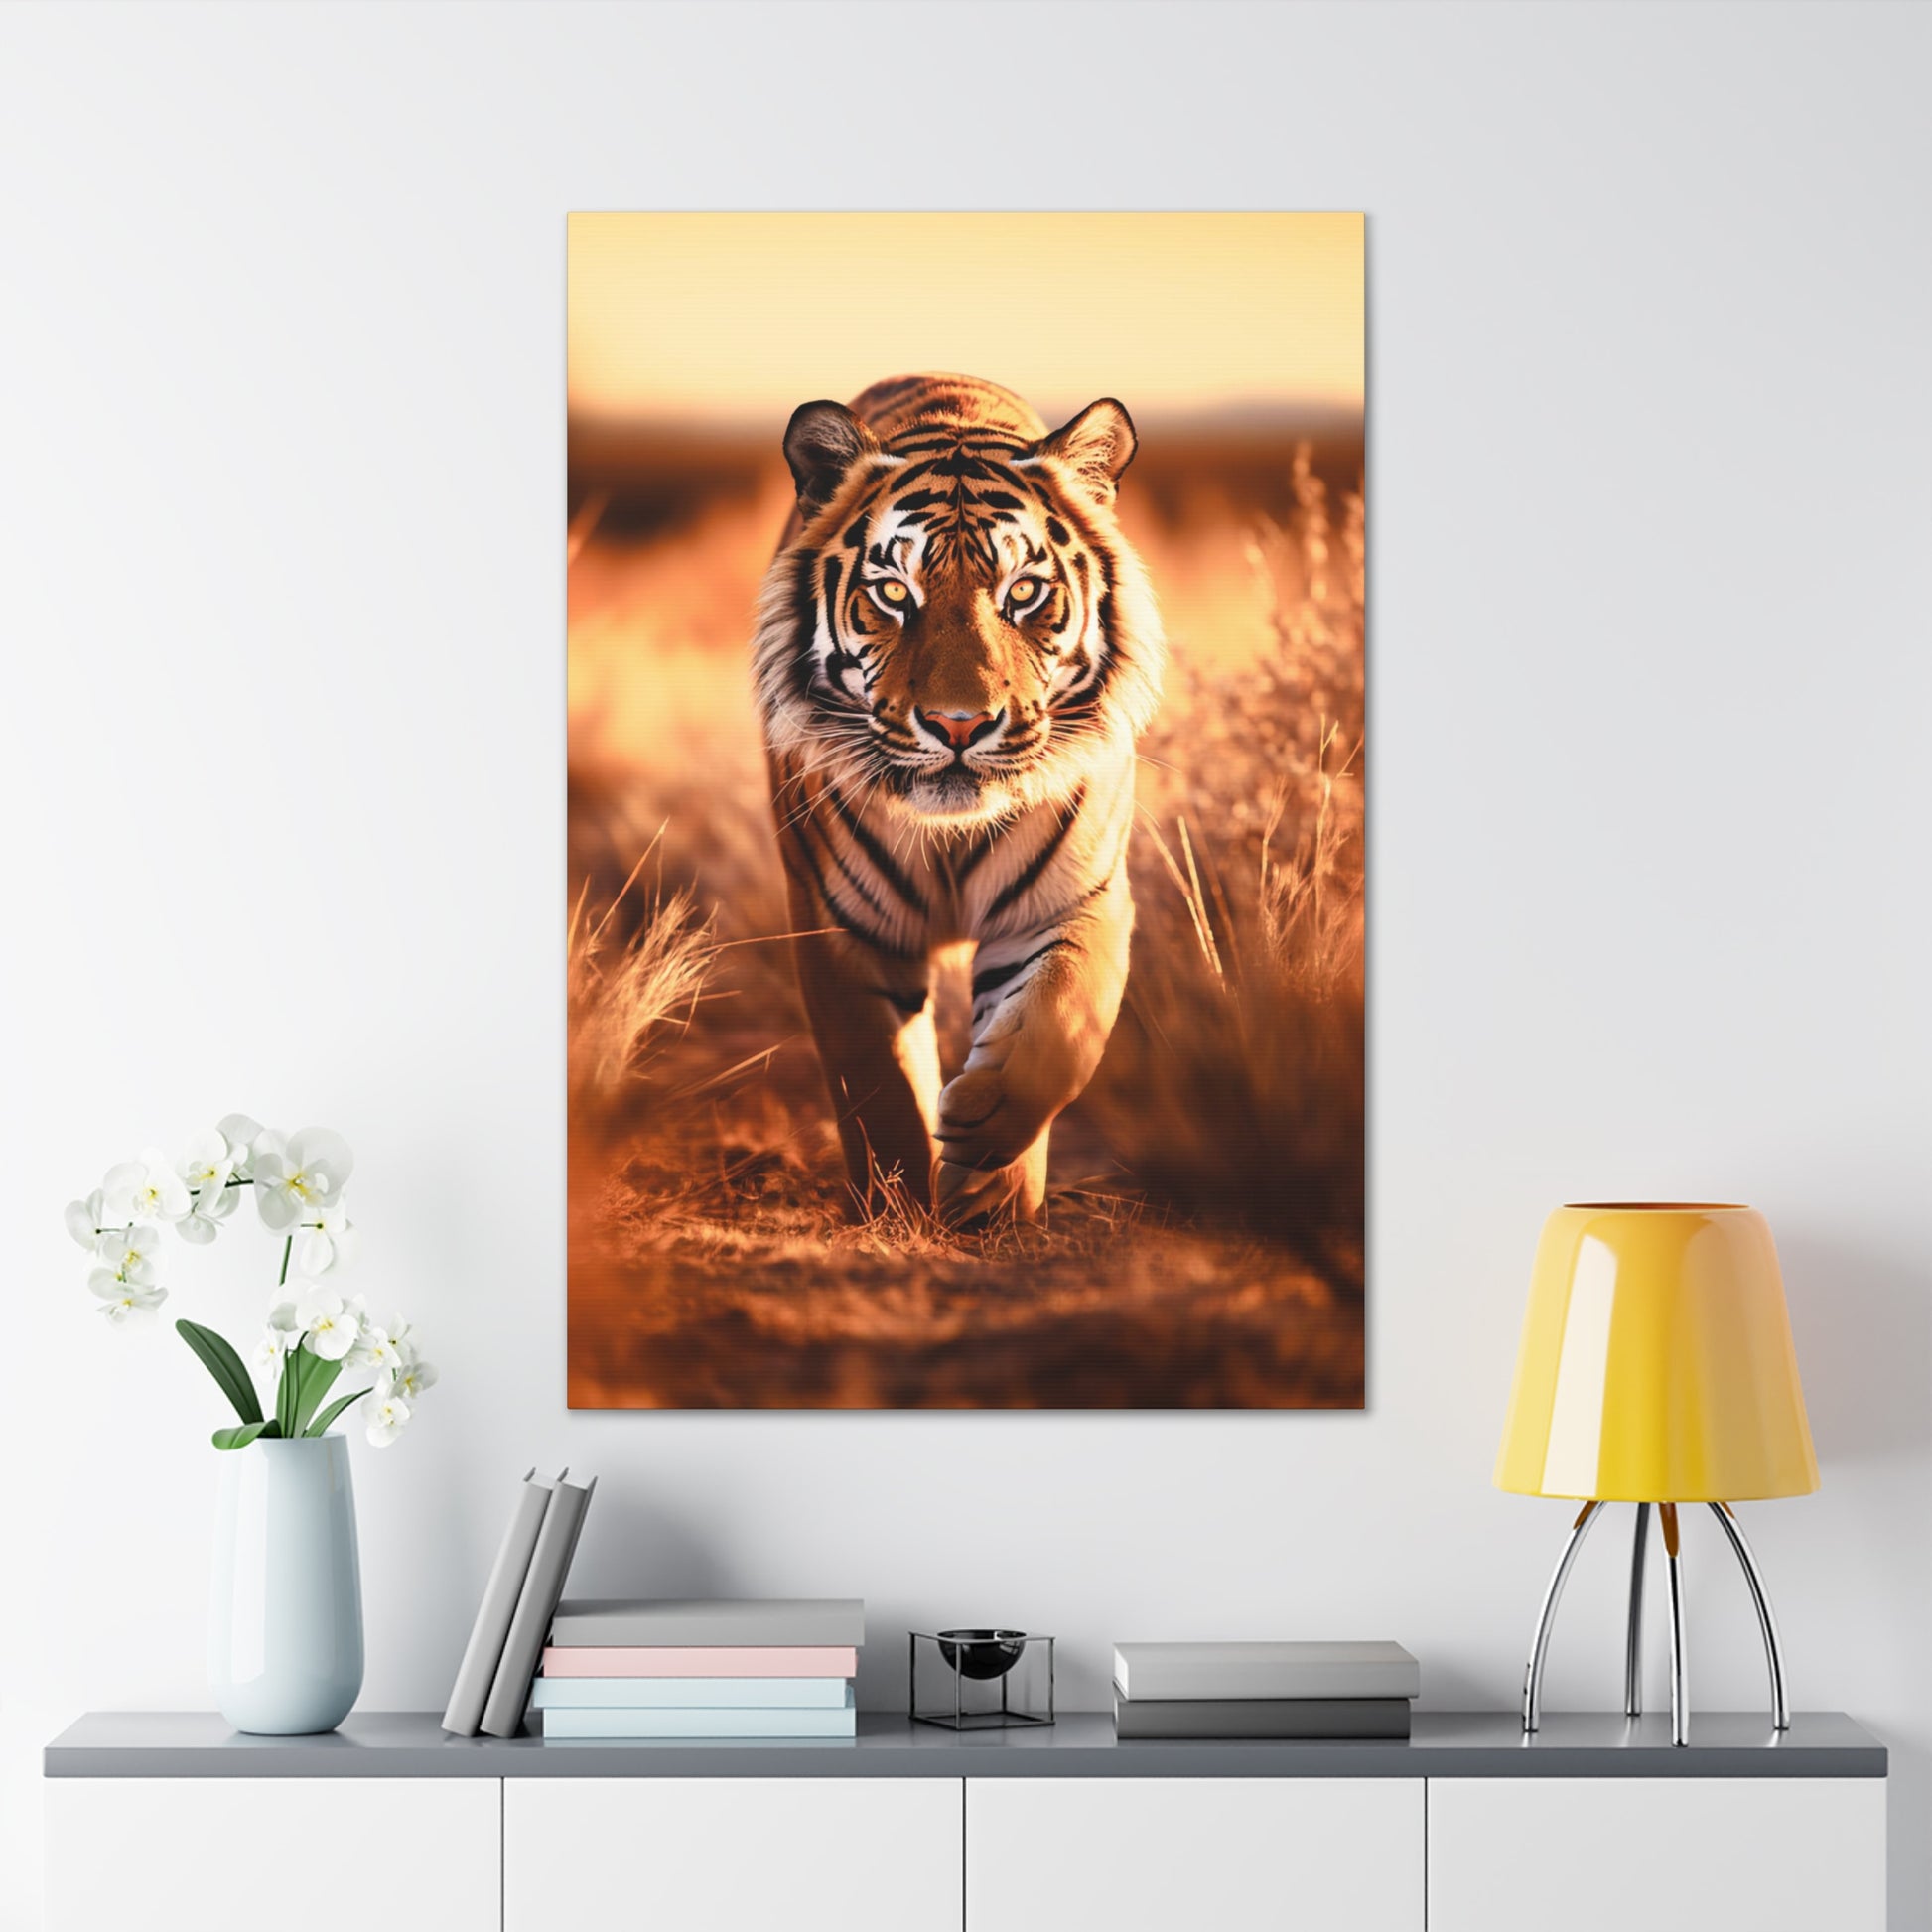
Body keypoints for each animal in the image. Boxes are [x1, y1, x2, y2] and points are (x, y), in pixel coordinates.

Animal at [752, 372, 1165, 1226]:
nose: (958, 724)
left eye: (1025, 591)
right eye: (892, 593)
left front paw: (989, 1161)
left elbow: (1060, 1025)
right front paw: (897, 1204)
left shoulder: (1074, 899)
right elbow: (878, 1082)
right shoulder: (842, 924)